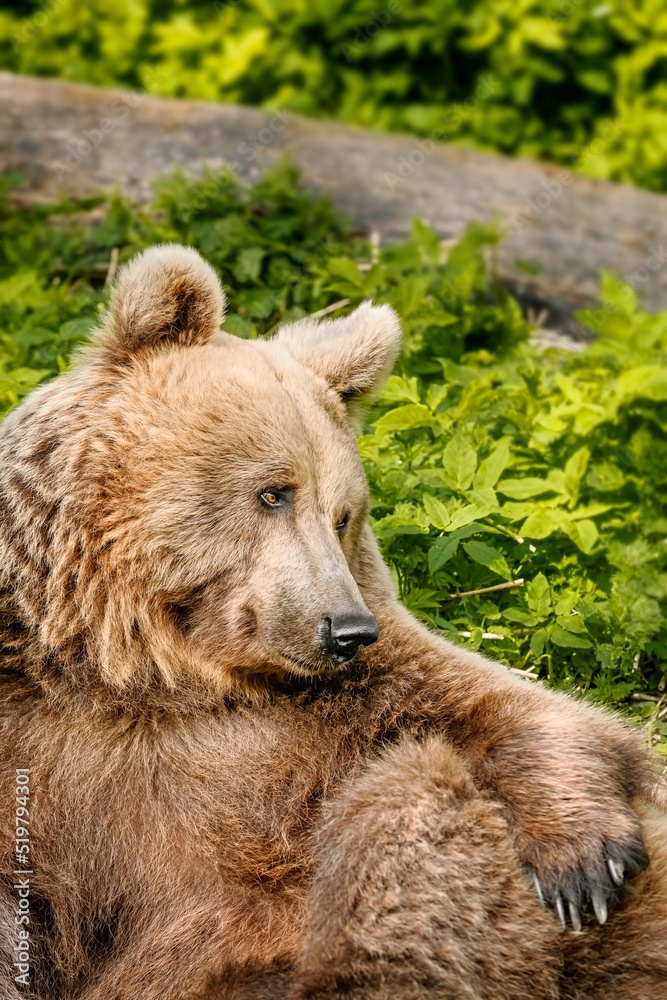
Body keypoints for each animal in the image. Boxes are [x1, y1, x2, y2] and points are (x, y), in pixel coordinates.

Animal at [0, 242, 666, 1000]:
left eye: (344, 514)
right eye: (273, 492)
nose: (346, 630)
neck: (143, 668)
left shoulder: (339, 706)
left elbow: (510, 708)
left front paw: (583, 864)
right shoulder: (37, 723)